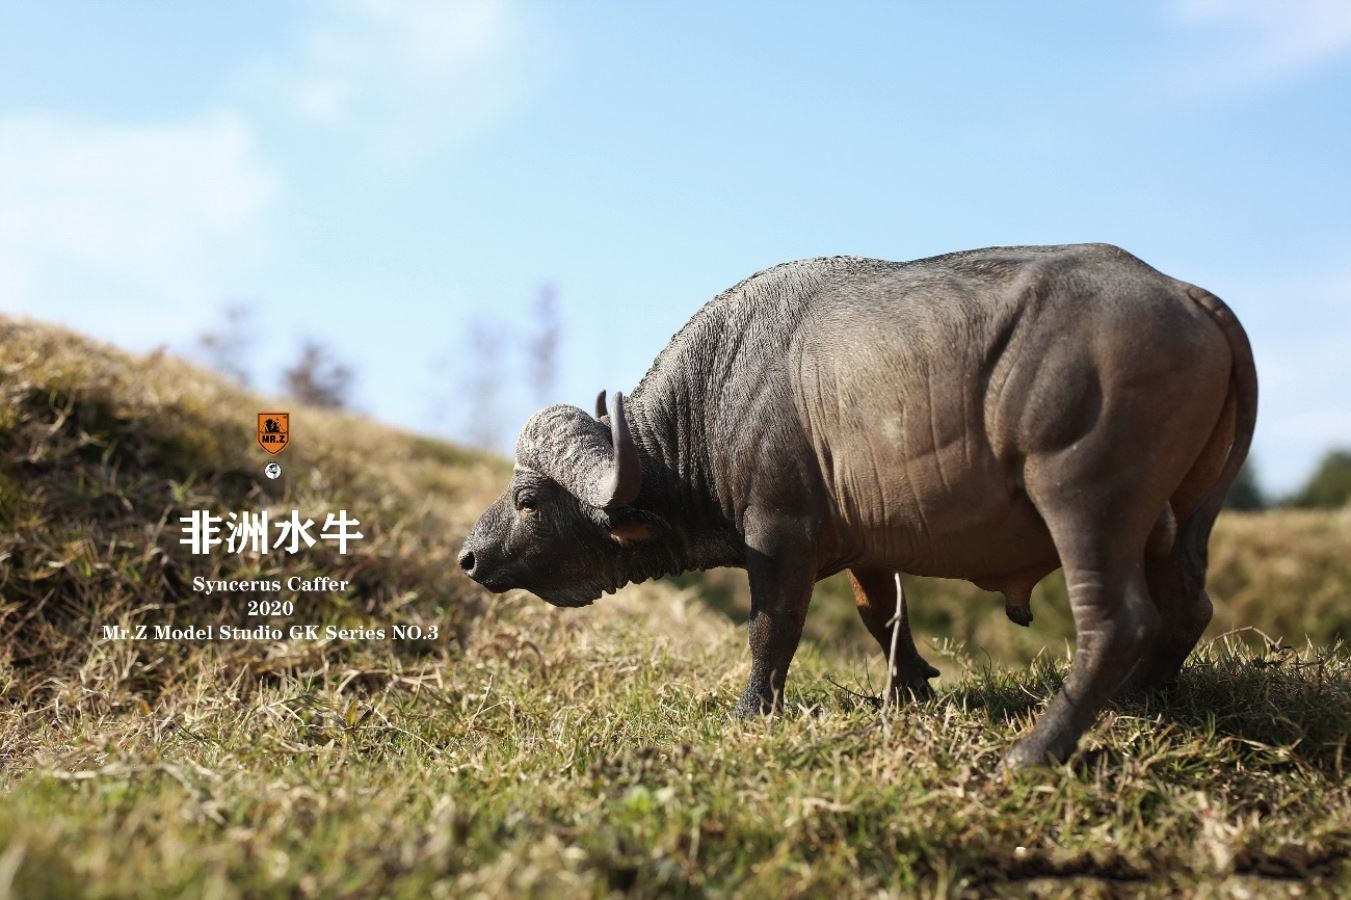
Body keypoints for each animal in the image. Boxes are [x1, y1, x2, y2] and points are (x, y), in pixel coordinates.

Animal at [460, 243, 1257, 770]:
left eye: (528, 499)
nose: (468, 556)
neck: (720, 395)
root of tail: (1186, 295)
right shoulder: (866, 551)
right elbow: (881, 617)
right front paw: (911, 688)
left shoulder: (778, 536)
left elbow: (771, 631)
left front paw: (752, 711)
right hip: (1171, 524)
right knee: (1188, 607)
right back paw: (1145, 698)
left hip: (1087, 506)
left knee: (1116, 622)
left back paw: (1033, 750)